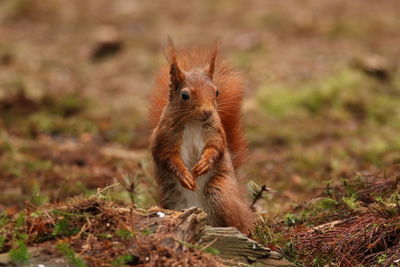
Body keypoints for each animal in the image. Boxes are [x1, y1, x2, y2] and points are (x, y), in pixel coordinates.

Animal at [148, 40, 255, 234]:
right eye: (185, 95)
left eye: (216, 91)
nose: (207, 111)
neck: (193, 123)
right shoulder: (164, 136)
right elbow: (167, 156)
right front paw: (185, 175)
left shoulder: (215, 132)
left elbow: (216, 147)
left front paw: (204, 163)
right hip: (173, 200)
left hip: (219, 191)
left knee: (236, 221)